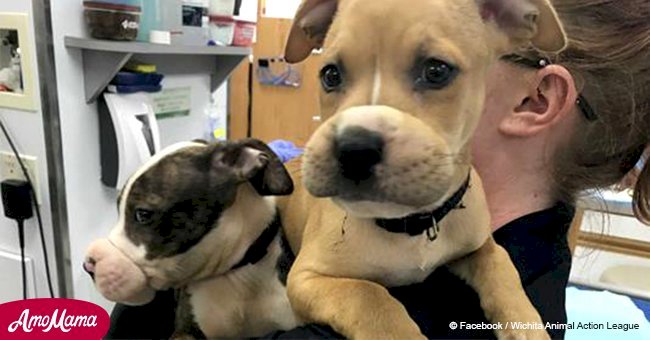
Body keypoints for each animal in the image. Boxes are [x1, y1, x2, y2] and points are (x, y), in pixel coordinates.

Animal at [278, 0, 568, 340]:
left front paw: (526, 325)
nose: (354, 148)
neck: (409, 223)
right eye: (330, 74)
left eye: (436, 71)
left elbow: (501, 265)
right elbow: (370, 296)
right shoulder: (306, 277)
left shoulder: (480, 245)